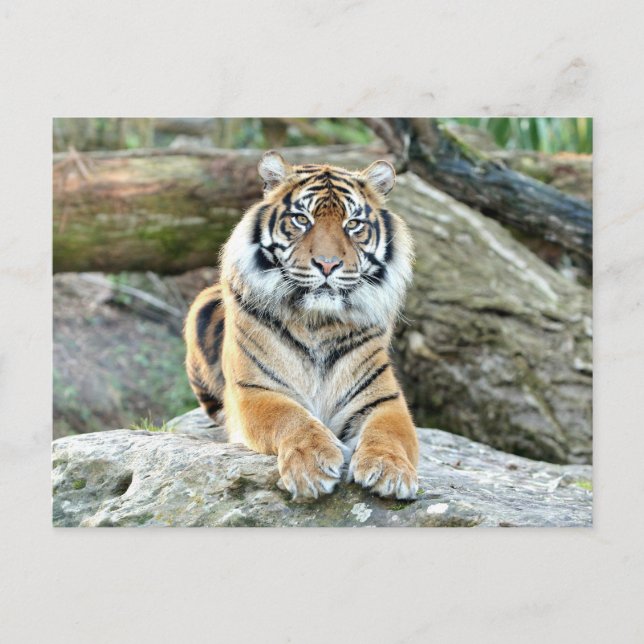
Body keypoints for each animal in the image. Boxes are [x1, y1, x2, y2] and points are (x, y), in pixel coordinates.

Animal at [184, 150, 418, 501]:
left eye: (353, 224)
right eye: (301, 219)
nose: (327, 264)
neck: (318, 322)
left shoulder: (382, 399)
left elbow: (389, 433)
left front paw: (390, 470)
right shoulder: (256, 390)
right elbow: (291, 417)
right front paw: (312, 464)